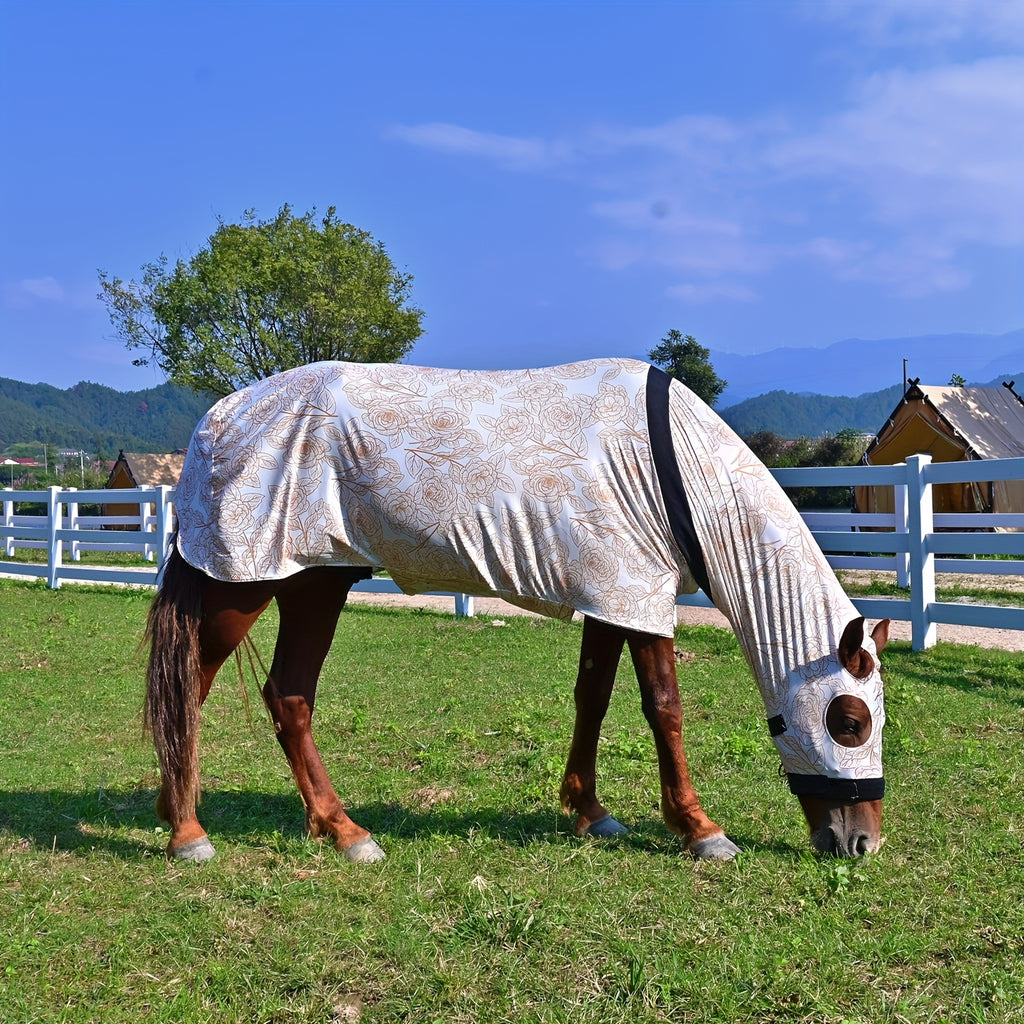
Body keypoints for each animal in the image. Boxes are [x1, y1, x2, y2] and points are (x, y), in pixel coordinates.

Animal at [147, 358, 890, 864]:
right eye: (850, 722)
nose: (861, 841)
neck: (676, 467)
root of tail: (219, 418)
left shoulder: (614, 598)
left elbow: (593, 698)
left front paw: (589, 811)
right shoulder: (640, 598)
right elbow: (664, 709)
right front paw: (700, 828)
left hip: (315, 583)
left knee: (288, 696)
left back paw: (336, 828)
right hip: (246, 584)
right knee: (194, 687)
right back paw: (188, 830)